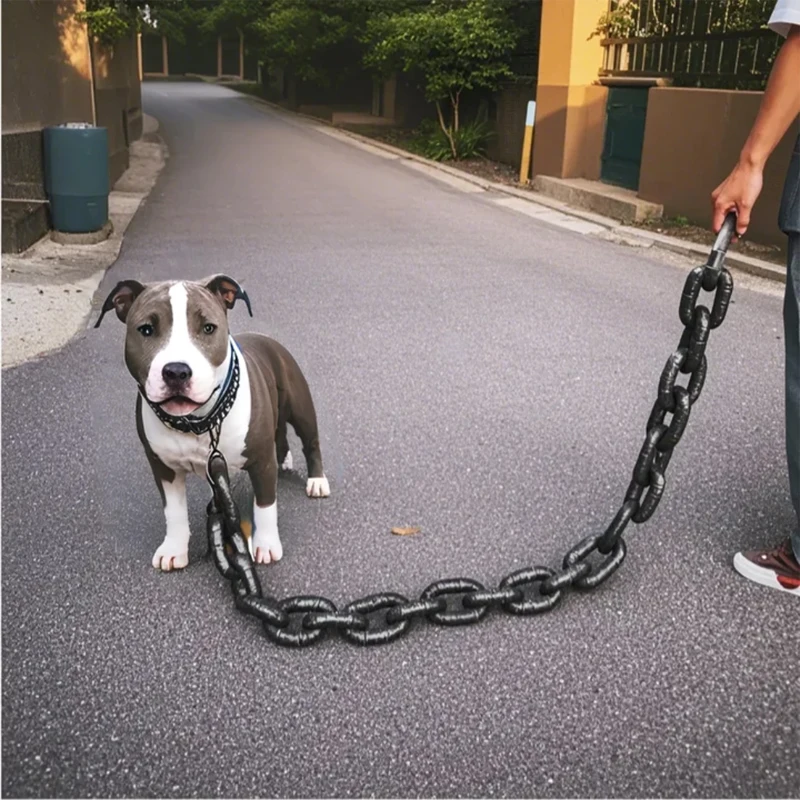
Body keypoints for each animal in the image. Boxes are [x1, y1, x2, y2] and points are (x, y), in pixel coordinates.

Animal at [96, 276, 328, 568]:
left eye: (208, 328)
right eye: (146, 329)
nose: (176, 371)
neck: (198, 422)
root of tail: (266, 338)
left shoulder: (262, 461)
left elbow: (265, 505)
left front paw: (266, 545)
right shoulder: (163, 467)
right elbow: (173, 511)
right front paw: (174, 548)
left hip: (300, 407)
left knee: (310, 442)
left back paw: (317, 481)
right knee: (280, 435)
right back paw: (283, 459)